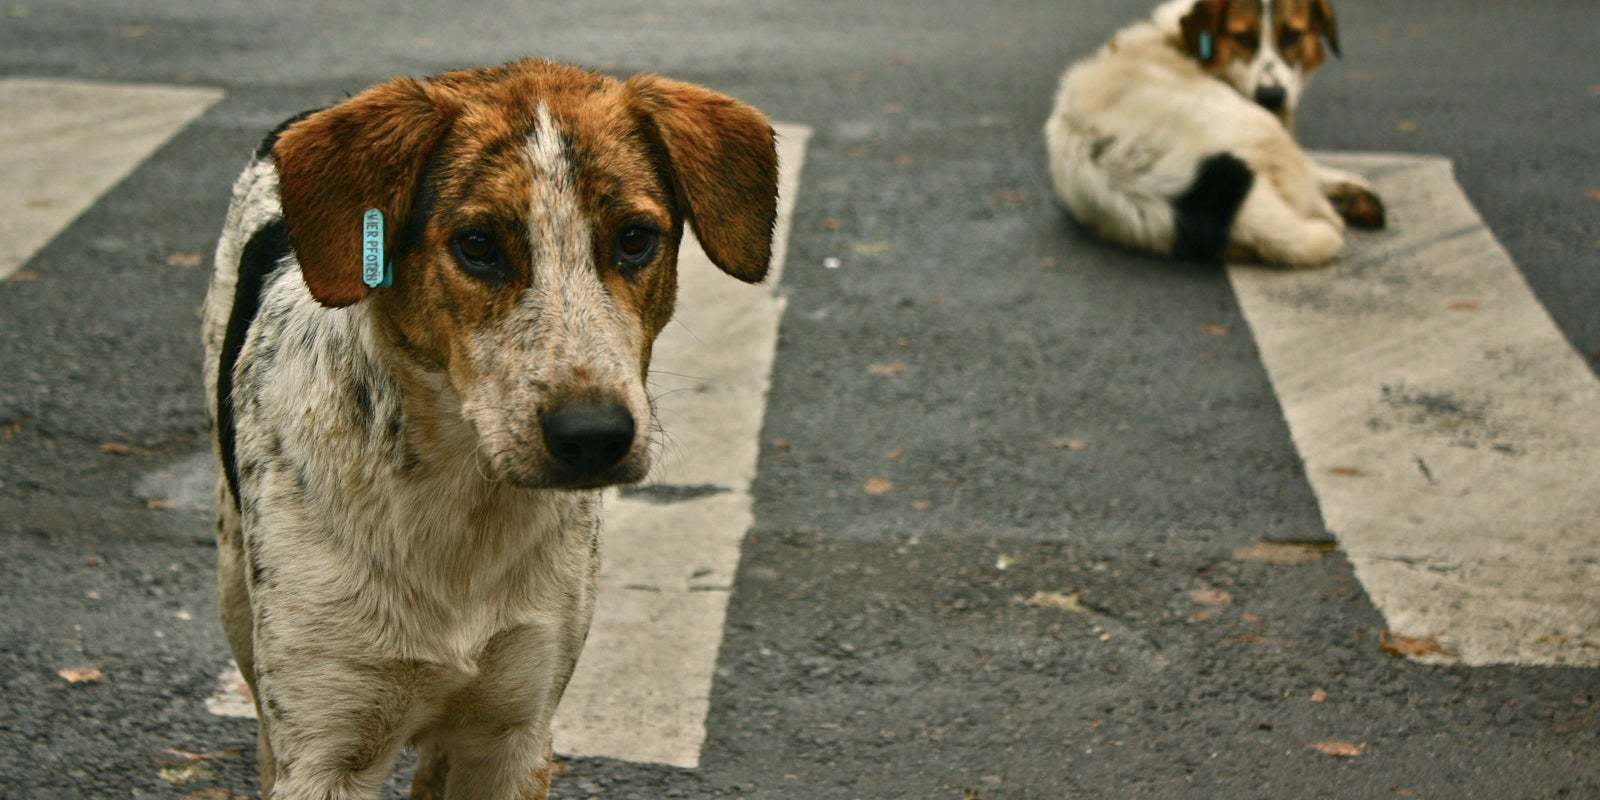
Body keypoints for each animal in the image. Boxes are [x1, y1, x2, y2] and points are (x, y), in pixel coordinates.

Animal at [203, 62, 777, 800]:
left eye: (634, 239)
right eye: (476, 245)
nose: (594, 436)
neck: (461, 504)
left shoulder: (515, 731)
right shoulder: (325, 751)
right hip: (235, 589)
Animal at [1043, 0, 1382, 268]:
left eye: (1292, 36)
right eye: (1241, 38)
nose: (1271, 96)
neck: (1179, 42)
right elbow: (1315, 169)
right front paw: (1348, 183)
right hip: (1260, 128)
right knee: (1319, 210)